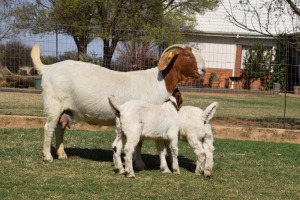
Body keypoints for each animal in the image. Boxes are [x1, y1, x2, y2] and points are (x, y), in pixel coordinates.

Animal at [31, 43, 207, 161]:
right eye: (187, 55)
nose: (204, 70)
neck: (157, 83)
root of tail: (48, 68)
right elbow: (139, 142)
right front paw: (139, 162)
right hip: (53, 104)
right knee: (49, 128)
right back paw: (48, 157)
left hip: (66, 108)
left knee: (60, 127)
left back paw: (62, 154)